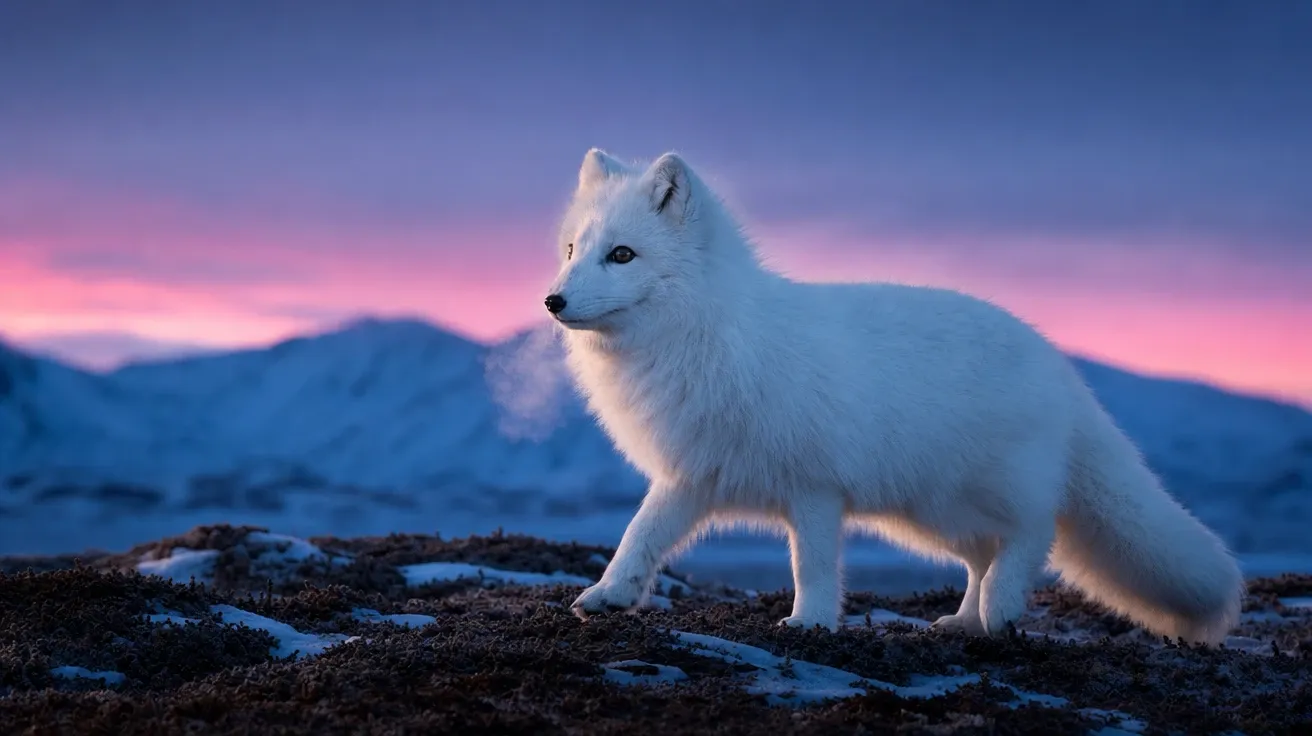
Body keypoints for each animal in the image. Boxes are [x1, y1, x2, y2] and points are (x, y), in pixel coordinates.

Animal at [543, 148, 1245, 644]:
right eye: (573, 249)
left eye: (623, 255)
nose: (553, 300)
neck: (710, 335)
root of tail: (1062, 369)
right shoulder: (693, 474)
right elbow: (638, 536)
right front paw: (607, 595)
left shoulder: (815, 488)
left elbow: (812, 566)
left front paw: (810, 623)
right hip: (932, 511)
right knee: (982, 556)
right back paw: (966, 622)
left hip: (982, 490)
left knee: (1031, 534)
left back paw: (1000, 609)